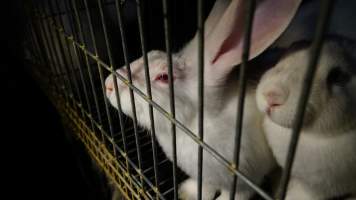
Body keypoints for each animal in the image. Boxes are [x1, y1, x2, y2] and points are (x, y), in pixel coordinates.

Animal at [104, 0, 302, 199]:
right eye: (152, 53)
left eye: (163, 77)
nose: (108, 84)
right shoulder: (205, 176)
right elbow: (204, 187)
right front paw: (187, 192)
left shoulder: (243, 182)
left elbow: (234, 195)